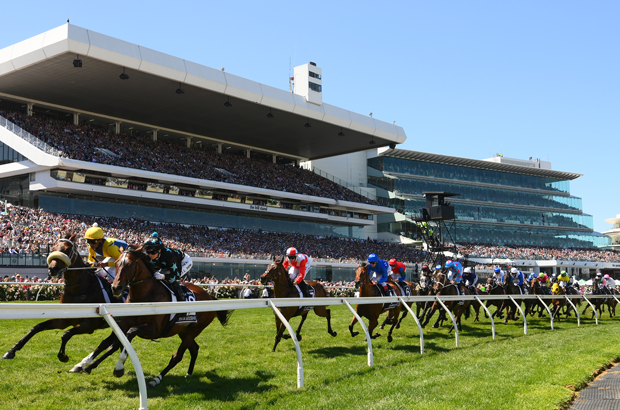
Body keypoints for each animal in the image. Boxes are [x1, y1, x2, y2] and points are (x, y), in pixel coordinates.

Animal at [2, 234, 123, 362]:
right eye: (53, 248)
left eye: (68, 249)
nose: (52, 269)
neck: (80, 289)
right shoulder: (64, 319)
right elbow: (37, 327)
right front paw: (11, 351)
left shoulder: (90, 324)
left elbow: (66, 334)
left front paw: (63, 355)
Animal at [77, 247, 231, 388]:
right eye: (116, 263)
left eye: (130, 265)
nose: (116, 288)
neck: (145, 297)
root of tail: (210, 296)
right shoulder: (123, 324)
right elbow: (110, 345)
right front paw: (86, 365)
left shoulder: (153, 330)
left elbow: (129, 334)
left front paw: (119, 368)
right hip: (183, 331)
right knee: (194, 349)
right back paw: (188, 374)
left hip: (194, 330)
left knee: (177, 356)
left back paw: (156, 379)